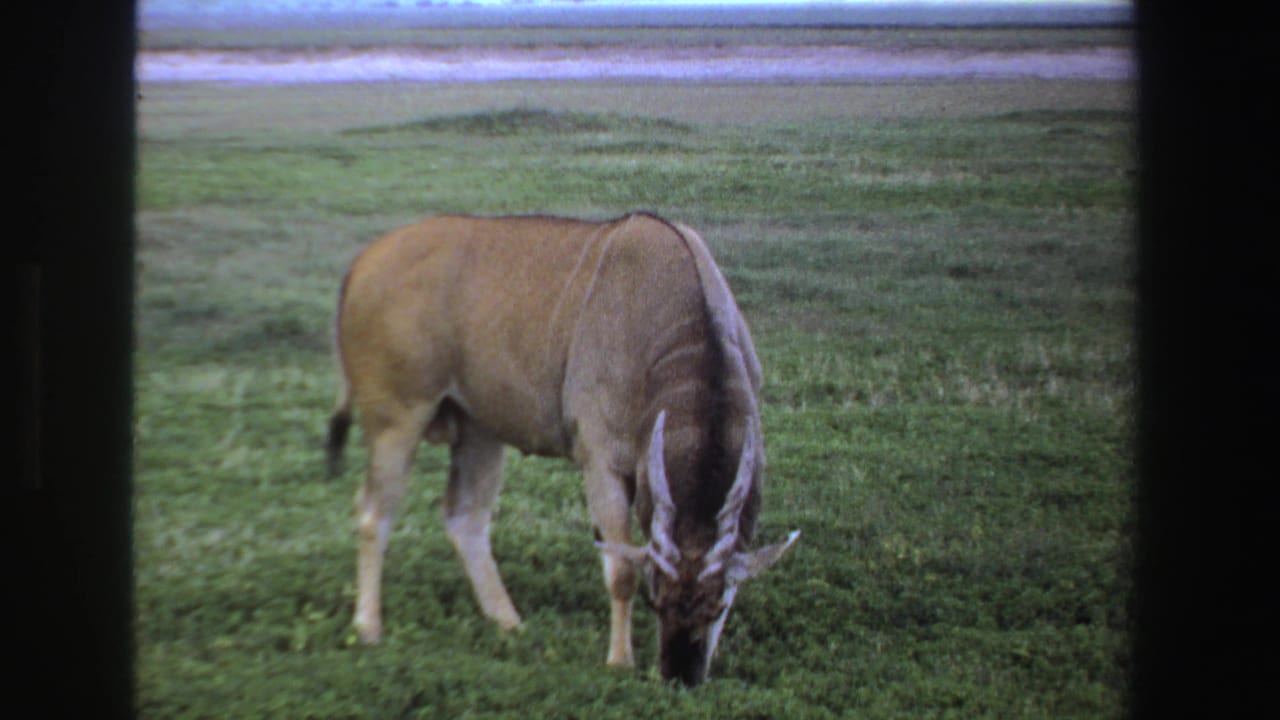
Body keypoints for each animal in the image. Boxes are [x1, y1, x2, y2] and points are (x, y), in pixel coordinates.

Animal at [326, 212, 799, 686]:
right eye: (655, 598)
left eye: (718, 605)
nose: (680, 676)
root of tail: (362, 263)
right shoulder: (601, 462)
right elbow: (620, 569)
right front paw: (619, 661)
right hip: (398, 418)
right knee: (373, 514)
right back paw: (368, 627)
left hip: (479, 430)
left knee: (465, 519)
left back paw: (509, 622)